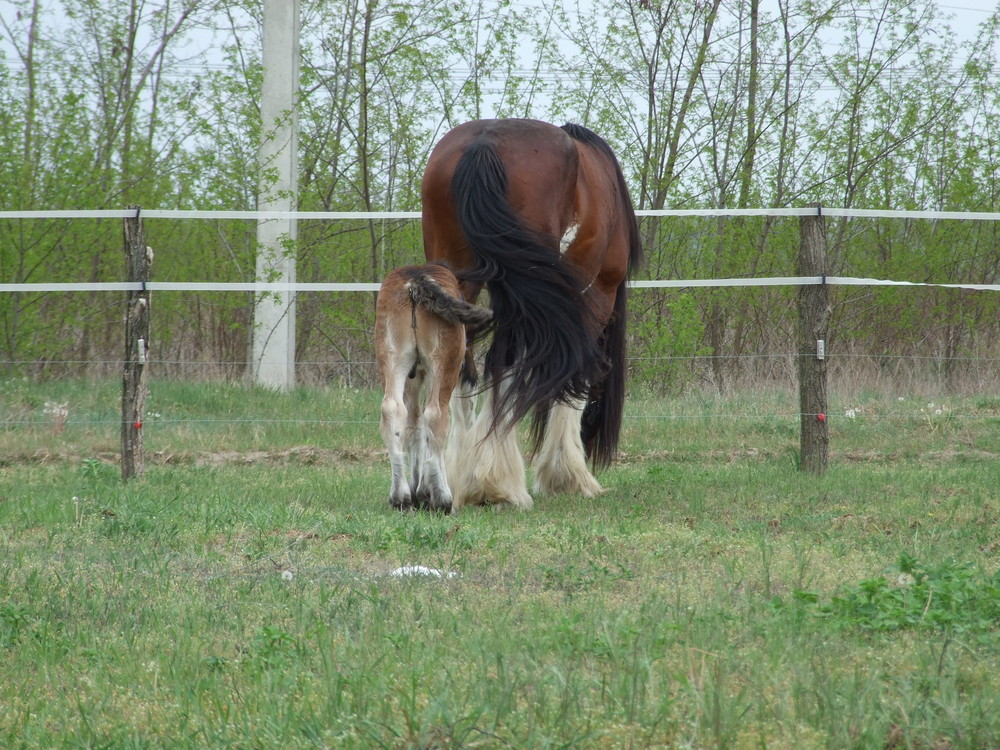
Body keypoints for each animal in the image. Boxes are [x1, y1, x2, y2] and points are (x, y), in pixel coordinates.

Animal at [374, 262, 490, 516]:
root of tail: (417, 279)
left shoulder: (413, 378)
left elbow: (412, 427)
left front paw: (417, 488)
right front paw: (425, 490)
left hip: (392, 358)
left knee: (392, 410)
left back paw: (400, 496)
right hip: (444, 362)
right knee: (436, 415)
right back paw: (442, 498)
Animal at [420, 119, 640, 512]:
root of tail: (484, 143)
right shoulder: (596, 294)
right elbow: (581, 370)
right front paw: (569, 475)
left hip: (456, 271)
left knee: (460, 363)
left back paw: (453, 481)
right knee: (503, 362)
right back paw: (497, 483)